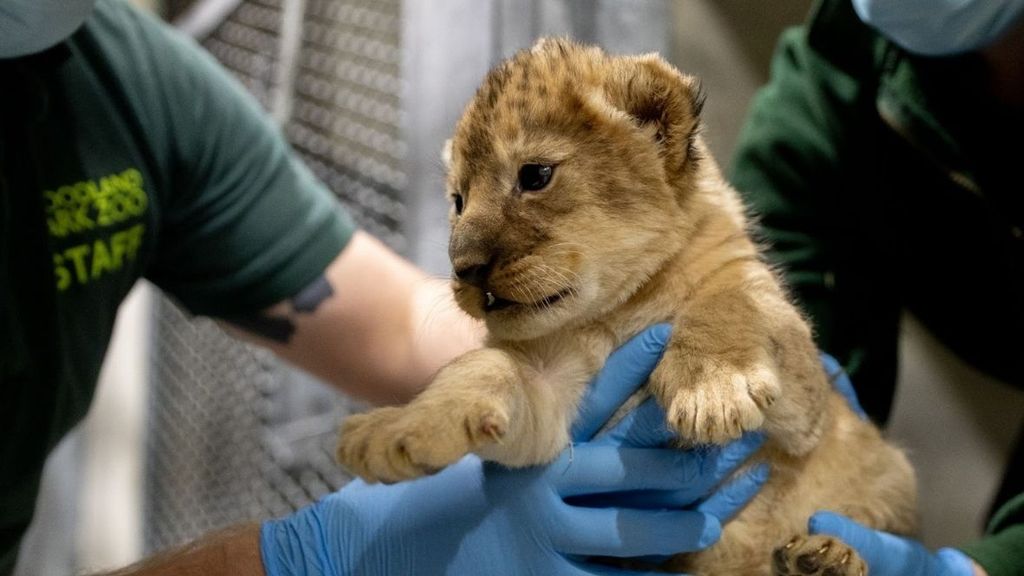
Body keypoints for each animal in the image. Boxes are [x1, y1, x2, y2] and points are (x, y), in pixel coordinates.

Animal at [336, 38, 916, 575]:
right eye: (458, 201)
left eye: (535, 176)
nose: (464, 268)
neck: (621, 308)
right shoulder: (548, 389)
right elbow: (480, 371)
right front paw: (397, 429)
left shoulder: (806, 402)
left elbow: (729, 300)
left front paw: (710, 391)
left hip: (891, 475)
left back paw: (828, 555)